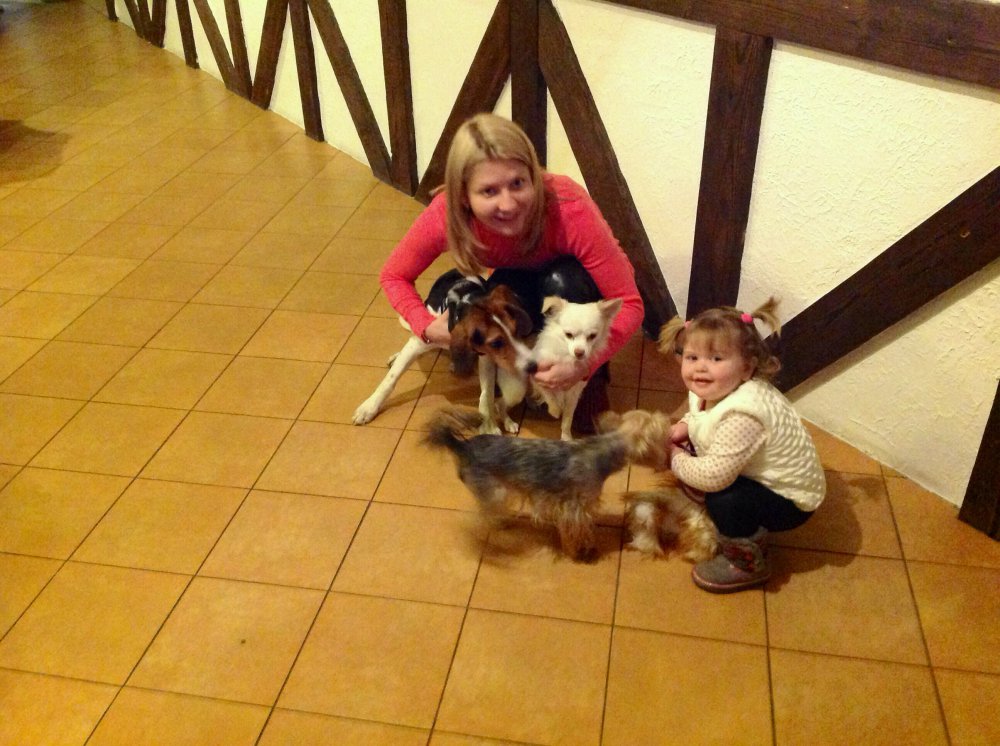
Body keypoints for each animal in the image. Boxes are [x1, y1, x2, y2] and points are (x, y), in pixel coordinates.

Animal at [423, 406, 671, 561]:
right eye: (659, 433)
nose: (667, 419)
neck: (602, 450)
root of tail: (462, 446)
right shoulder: (574, 508)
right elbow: (574, 530)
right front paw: (578, 551)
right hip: (495, 490)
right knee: (485, 512)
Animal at [521, 296, 622, 440]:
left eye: (592, 336)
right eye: (568, 334)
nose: (579, 352)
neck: (566, 357)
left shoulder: (574, 394)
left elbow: (568, 419)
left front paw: (566, 437)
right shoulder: (538, 379)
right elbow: (549, 395)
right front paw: (555, 410)